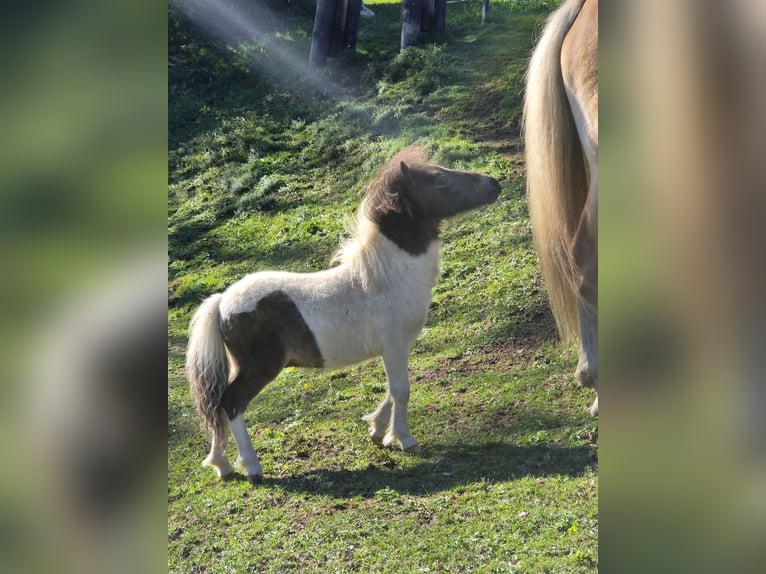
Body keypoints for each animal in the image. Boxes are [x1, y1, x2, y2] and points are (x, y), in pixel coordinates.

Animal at [186, 145, 501, 483]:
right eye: (439, 180)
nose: (494, 183)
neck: (385, 278)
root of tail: (222, 301)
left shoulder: (396, 348)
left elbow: (391, 390)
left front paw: (378, 431)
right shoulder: (394, 346)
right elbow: (401, 390)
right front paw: (404, 439)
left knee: (217, 405)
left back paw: (222, 465)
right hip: (260, 367)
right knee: (232, 403)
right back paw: (251, 467)